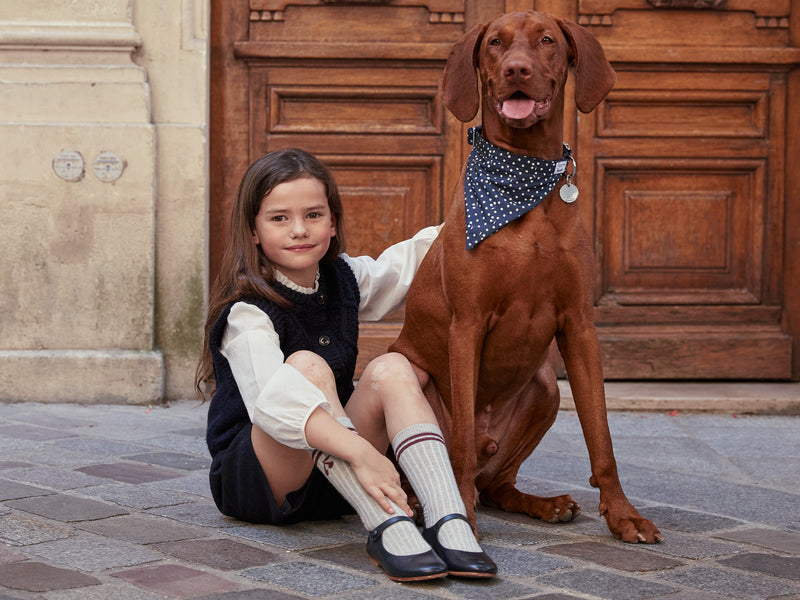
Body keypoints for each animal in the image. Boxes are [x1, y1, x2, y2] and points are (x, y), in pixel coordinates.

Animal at [390, 10, 664, 544]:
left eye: (547, 40)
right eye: (495, 43)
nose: (517, 68)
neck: (523, 177)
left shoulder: (580, 324)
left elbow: (602, 435)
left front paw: (623, 515)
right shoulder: (467, 324)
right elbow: (457, 444)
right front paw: (462, 518)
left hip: (544, 389)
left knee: (500, 485)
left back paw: (542, 504)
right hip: (412, 373)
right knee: (449, 464)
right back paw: (424, 501)